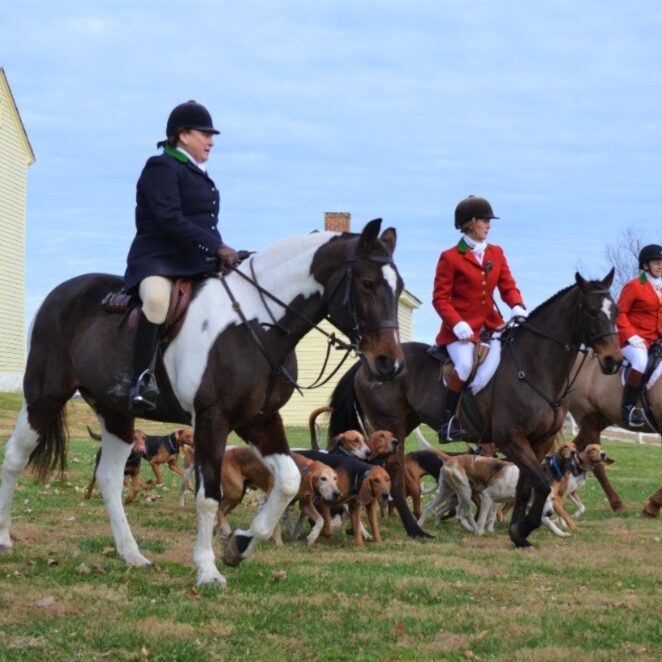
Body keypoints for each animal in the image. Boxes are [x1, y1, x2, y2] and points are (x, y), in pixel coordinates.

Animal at [0, 220, 404, 588]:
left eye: (398, 287)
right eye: (367, 283)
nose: (390, 364)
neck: (254, 324)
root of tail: (61, 293)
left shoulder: (260, 419)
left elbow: (288, 482)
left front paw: (240, 545)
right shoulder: (212, 419)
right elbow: (208, 498)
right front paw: (208, 570)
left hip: (116, 414)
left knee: (110, 479)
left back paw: (132, 555)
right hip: (42, 398)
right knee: (16, 459)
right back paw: (5, 539)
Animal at [330, 272, 624, 548]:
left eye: (615, 312)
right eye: (591, 312)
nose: (614, 361)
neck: (533, 368)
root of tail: (366, 363)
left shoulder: (539, 441)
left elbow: (526, 486)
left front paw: (518, 533)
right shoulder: (510, 439)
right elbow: (540, 482)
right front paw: (524, 527)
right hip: (390, 428)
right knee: (393, 474)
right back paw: (414, 529)